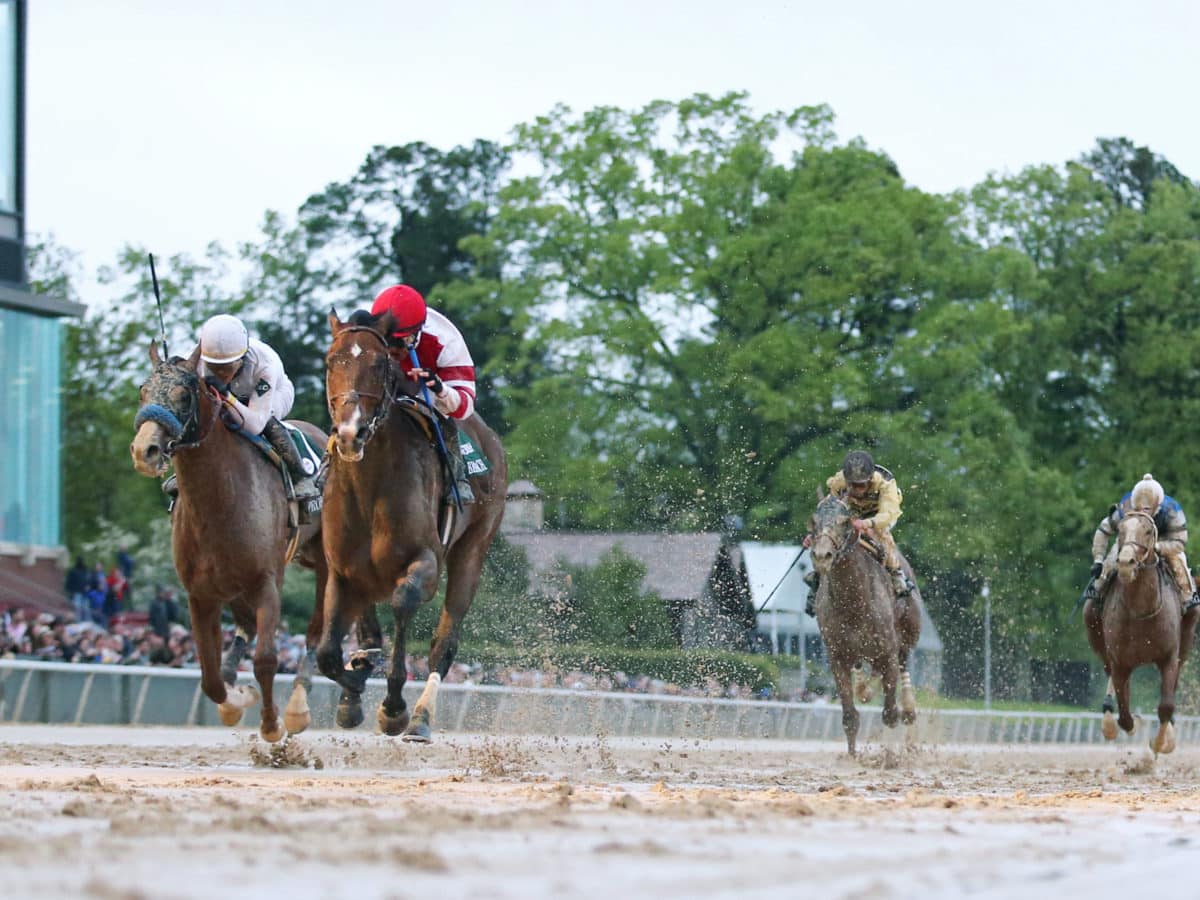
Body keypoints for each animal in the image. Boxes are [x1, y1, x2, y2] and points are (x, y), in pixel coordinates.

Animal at [127, 340, 328, 744]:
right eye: (143, 390)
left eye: (184, 394)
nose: (145, 451)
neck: (221, 501)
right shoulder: (201, 593)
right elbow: (210, 677)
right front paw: (237, 698)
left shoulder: (267, 581)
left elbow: (266, 659)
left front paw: (272, 724)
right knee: (244, 629)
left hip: (326, 559)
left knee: (317, 629)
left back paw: (297, 707)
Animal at [314, 307, 506, 744]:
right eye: (332, 362)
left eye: (379, 364)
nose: (350, 434)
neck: (369, 486)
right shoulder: (341, 570)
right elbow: (327, 653)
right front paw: (354, 689)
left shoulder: (425, 563)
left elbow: (403, 604)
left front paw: (393, 706)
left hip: (474, 548)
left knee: (443, 644)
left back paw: (420, 717)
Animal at [811, 489, 921, 758]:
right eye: (814, 521)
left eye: (844, 521)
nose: (821, 556)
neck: (854, 603)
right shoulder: (837, 656)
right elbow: (850, 717)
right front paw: (852, 756)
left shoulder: (888, 653)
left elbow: (891, 714)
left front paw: (889, 757)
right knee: (863, 670)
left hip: (906, 637)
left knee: (903, 670)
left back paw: (909, 717)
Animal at [1084, 511, 1195, 758]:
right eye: (1121, 530)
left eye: (1147, 531)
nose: (1125, 563)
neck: (1141, 611)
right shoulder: (1119, 660)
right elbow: (1125, 715)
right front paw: (1131, 723)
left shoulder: (1168, 657)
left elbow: (1165, 707)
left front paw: (1160, 743)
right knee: (1111, 676)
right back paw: (1108, 717)